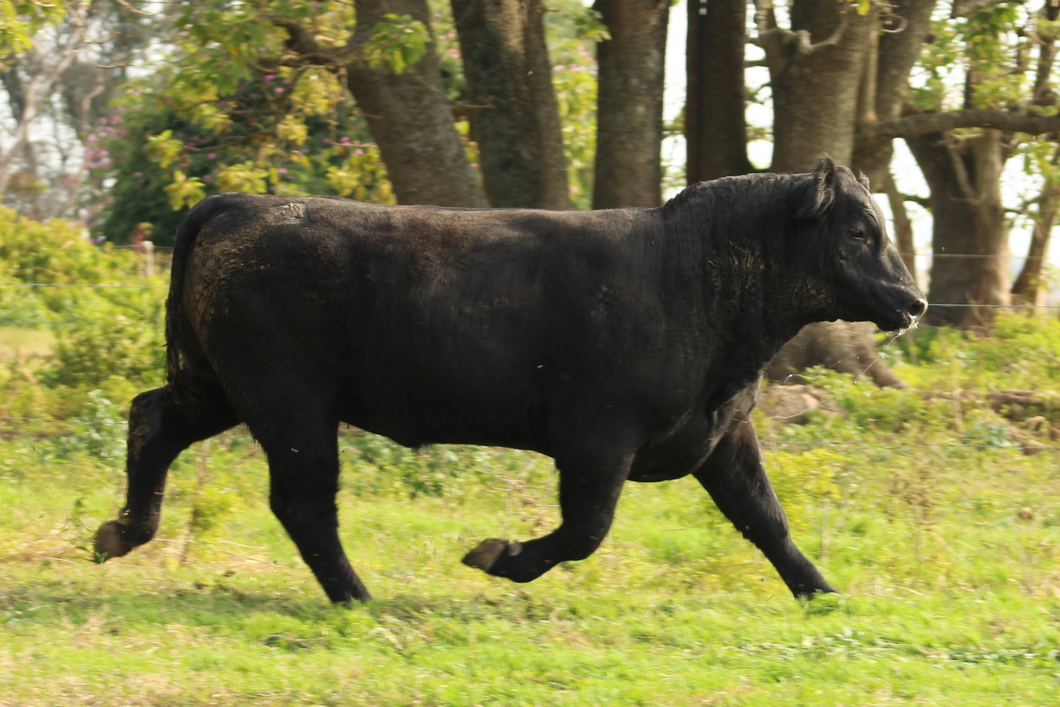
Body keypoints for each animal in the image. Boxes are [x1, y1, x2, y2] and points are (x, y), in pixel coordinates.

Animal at [95, 160, 924, 602]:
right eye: (860, 231)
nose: (913, 300)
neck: (691, 272)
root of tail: (243, 202)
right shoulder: (597, 437)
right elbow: (586, 528)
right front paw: (500, 556)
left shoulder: (721, 431)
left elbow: (766, 518)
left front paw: (821, 592)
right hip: (290, 404)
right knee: (304, 503)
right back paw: (359, 597)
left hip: (217, 386)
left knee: (152, 419)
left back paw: (122, 531)